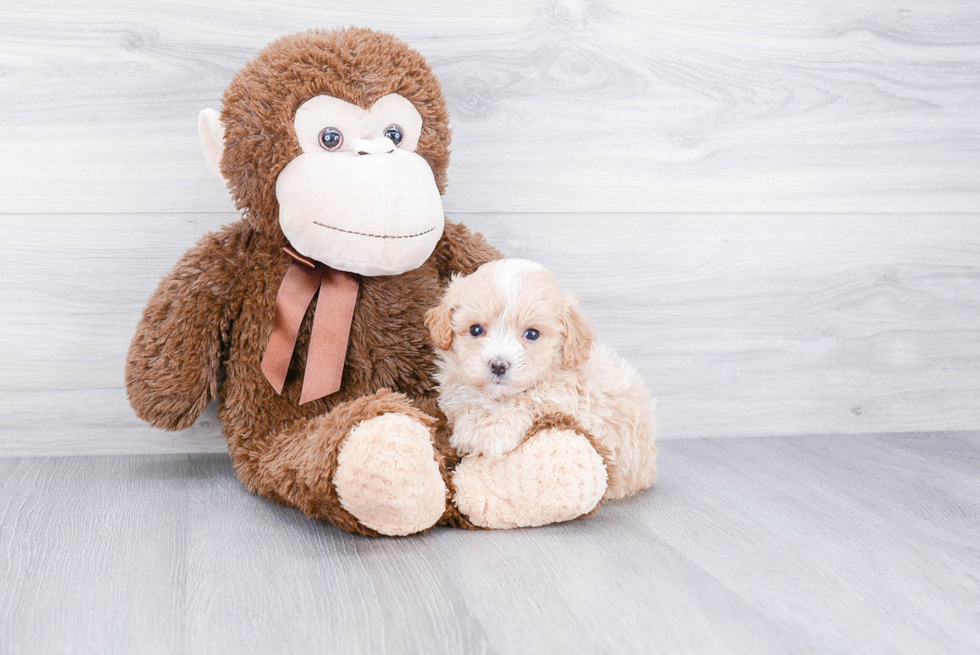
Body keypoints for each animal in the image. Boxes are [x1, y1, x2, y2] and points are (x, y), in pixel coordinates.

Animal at [424, 258, 660, 500]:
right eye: (476, 329)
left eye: (532, 334)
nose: (498, 365)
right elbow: (468, 408)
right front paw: (470, 427)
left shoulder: (567, 396)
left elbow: (530, 400)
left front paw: (490, 432)